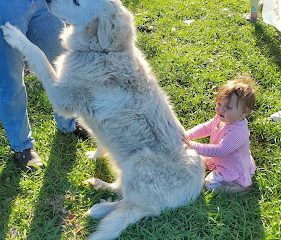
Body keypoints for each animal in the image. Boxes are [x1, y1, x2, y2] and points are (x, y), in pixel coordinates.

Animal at [1, 0, 203, 239]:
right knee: (122, 192)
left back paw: (100, 208)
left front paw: (14, 35)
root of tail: (194, 192)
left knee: (136, 207)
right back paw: (99, 188)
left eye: (77, 2)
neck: (101, 51)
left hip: (139, 164)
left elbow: (38, 55)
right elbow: (100, 142)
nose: (47, 1)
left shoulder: (61, 96)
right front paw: (95, 155)